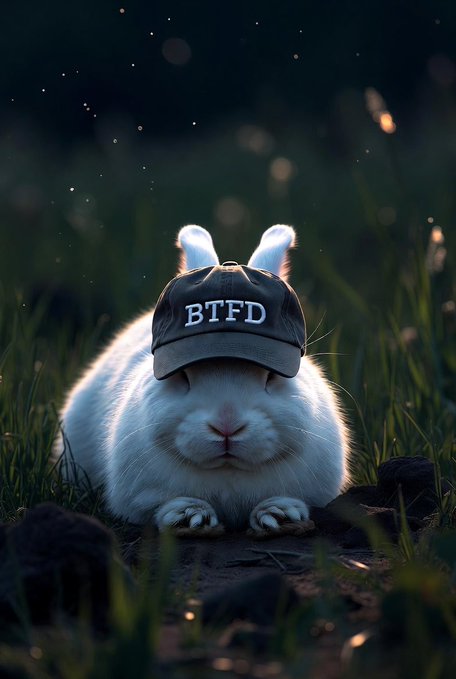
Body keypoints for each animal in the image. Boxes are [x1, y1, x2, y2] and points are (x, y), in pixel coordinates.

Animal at [54, 224, 350, 532]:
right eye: (183, 376)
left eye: (270, 377)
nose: (227, 425)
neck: (228, 472)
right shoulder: (141, 495)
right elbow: (160, 506)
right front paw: (190, 516)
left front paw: (279, 513)